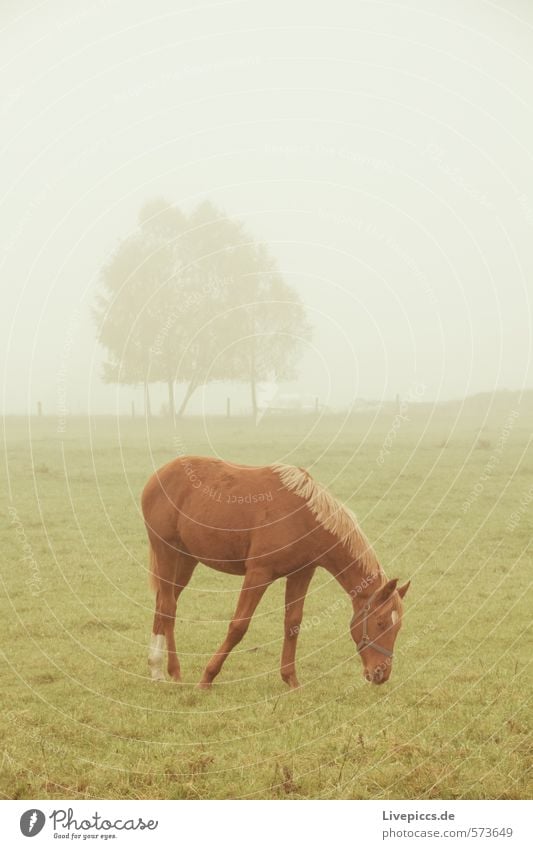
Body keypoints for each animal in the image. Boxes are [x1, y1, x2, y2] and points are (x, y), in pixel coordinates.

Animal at [139, 458, 410, 688]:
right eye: (380, 622)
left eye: (398, 627)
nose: (381, 673)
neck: (306, 517)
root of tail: (158, 475)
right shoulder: (258, 574)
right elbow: (239, 625)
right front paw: (207, 677)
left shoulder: (301, 574)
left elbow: (293, 624)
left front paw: (291, 680)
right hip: (167, 552)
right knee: (168, 607)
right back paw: (173, 670)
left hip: (186, 561)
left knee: (162, 604)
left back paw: (156, 669)